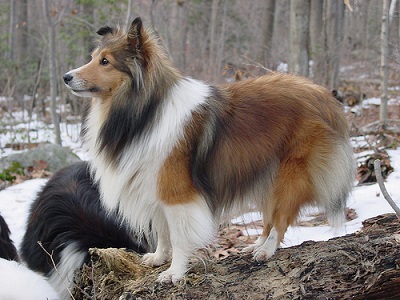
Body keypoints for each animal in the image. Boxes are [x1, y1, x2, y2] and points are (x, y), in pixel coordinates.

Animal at [64, 17, 354, 284]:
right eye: (93, 58)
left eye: (105, 61)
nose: (66, 77)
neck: (146, 112)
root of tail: (325, 96)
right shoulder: (152, 185)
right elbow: (162, 231)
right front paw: (159, 258)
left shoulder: (177, 193)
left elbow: (179, 236)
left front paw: (174, 272)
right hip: (267, 175)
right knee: (270, 217)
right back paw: (256, 245)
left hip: (291, 173)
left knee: (281, 218)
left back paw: (266, 250)